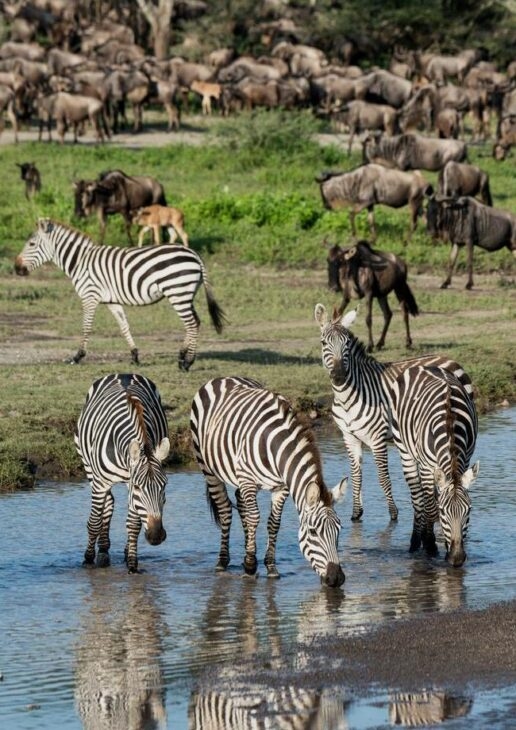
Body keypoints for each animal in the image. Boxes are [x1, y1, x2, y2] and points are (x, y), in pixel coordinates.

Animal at [14, 218, 226, 370]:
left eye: (31, 244)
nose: (16, 268)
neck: (80, 261)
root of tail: (194, 254)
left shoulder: (89, 296)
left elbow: (86, 327)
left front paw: (77, 356)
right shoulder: (111, 301)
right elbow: (124, 326)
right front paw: (135, 356)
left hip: (178, 292)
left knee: (192, 323)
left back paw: (187, 362)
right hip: (185, 294)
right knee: (195, 322)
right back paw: (182, 356)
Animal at [75, 373, 170, 573]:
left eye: (164, 486)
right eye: (138, 487)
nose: (156, 536)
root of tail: (123, 374)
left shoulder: (130, 482)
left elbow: (133, 524)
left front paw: (132, 564)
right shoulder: (102, 483)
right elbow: (94, 522)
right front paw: (88, 559)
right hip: (89, 468)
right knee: (107, 504)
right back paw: (102, 551)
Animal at [190, 376, 346, 586]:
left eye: (339, 530)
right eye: (313, 532)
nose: (336, 578)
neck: (276, 446)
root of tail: (223, 378)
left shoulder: (281, 487)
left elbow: (274, 522)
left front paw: (270, 566)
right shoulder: (248, 479)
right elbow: (254, 517)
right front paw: (250, 566)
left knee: (241, 504)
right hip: (208, 468)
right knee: (225, 510)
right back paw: (223, 561)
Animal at [314, 304, 474, 523]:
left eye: (346, 344)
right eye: (323, 343)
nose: (339, 376)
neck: (347, 398)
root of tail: (450, 359)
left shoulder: (377, 438)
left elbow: (383, 477)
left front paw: (393, 513)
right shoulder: (349, 437)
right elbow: (356, 475)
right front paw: (356, 513)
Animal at [387, 365, 479, 566]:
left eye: (469, 510)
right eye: (443, 511)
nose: (456, 559)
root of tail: (423, 366)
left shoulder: (465, 460)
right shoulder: (427, 467)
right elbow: (430, 507)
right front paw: (430, 546)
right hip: (405, 450)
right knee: (418, 498)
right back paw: (416, 541)